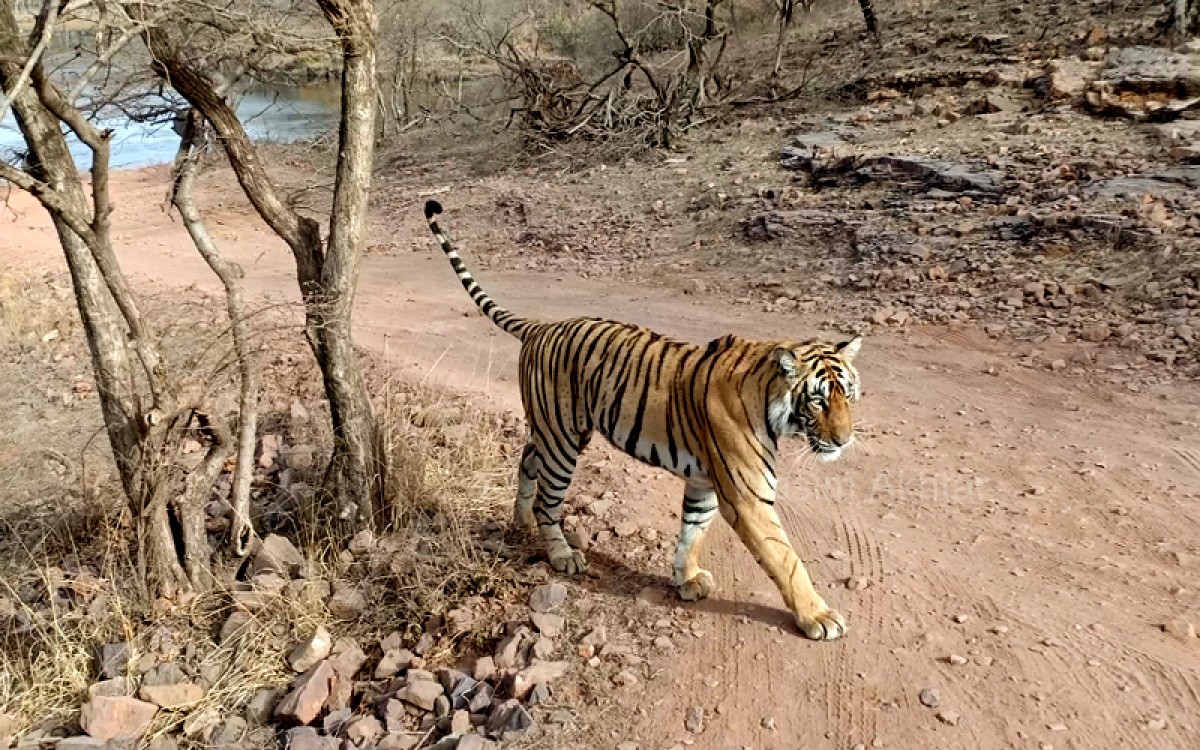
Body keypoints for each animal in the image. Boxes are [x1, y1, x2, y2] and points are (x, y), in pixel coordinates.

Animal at [422, 199, 864, 638]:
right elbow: (787, 560)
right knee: (549, 497)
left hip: (553, 428)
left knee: (528, 462)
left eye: (848, 395)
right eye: (818, 401)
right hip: (563, 439)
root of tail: (542, 326)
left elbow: (692, 532)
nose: (843, 442)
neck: (769, 398)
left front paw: (687, 579)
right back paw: (561, 554)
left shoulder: (704, 481)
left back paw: (520, 523)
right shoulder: (748, 496)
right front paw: (818, 617)